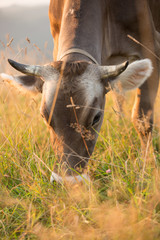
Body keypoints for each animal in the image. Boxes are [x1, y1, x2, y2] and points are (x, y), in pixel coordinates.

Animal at [0, 0, 158, 184]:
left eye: (96, 117)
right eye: (44, 116)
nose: (69, 182)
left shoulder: (150, 47)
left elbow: (142, 119)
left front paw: (148, 167)